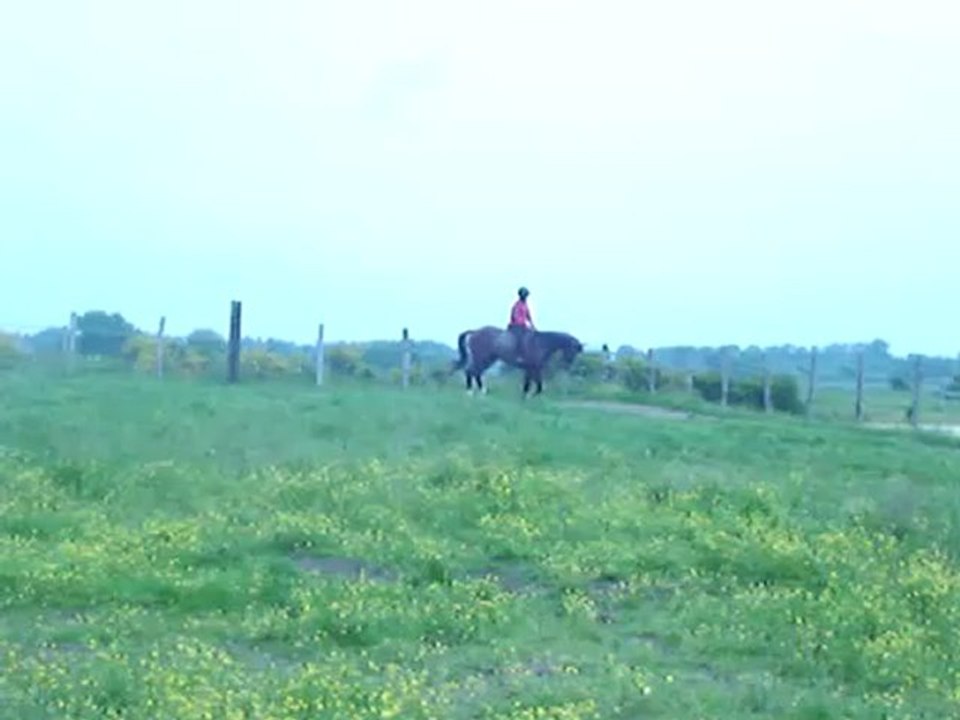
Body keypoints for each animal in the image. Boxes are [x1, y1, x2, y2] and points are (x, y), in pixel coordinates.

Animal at [452, 325, 584, 397]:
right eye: (573, 350)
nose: (568, 364)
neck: (542, 343)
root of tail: (475, 331)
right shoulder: (532, 367)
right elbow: (535, 385)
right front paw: (529, 396)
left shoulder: (534, 368)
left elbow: (535, 385)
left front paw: (527, 397)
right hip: (481, 357)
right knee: (471, 371)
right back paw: (472, 392)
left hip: (488, 359)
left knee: (475, 372)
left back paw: (482, 392)